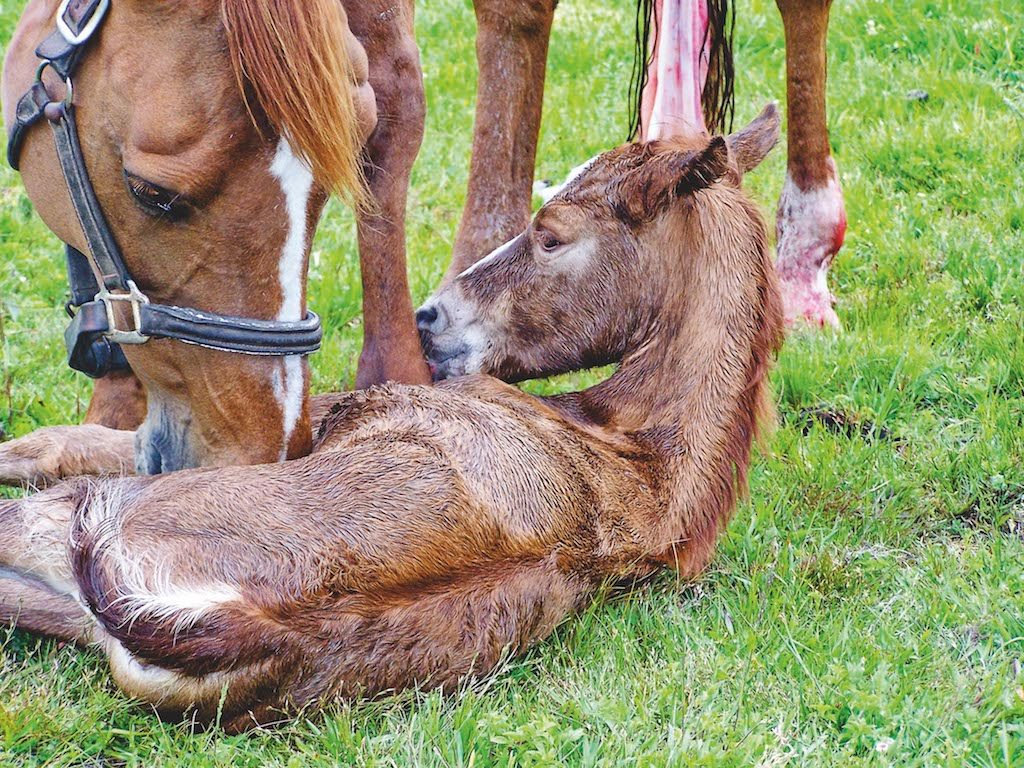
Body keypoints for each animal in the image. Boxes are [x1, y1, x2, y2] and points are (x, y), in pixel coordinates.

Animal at [2, 105, 782, 729]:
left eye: (553, 234)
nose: (431, 317)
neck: (639, 451)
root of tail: (254, 625)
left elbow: (82, 441)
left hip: (87, 520)